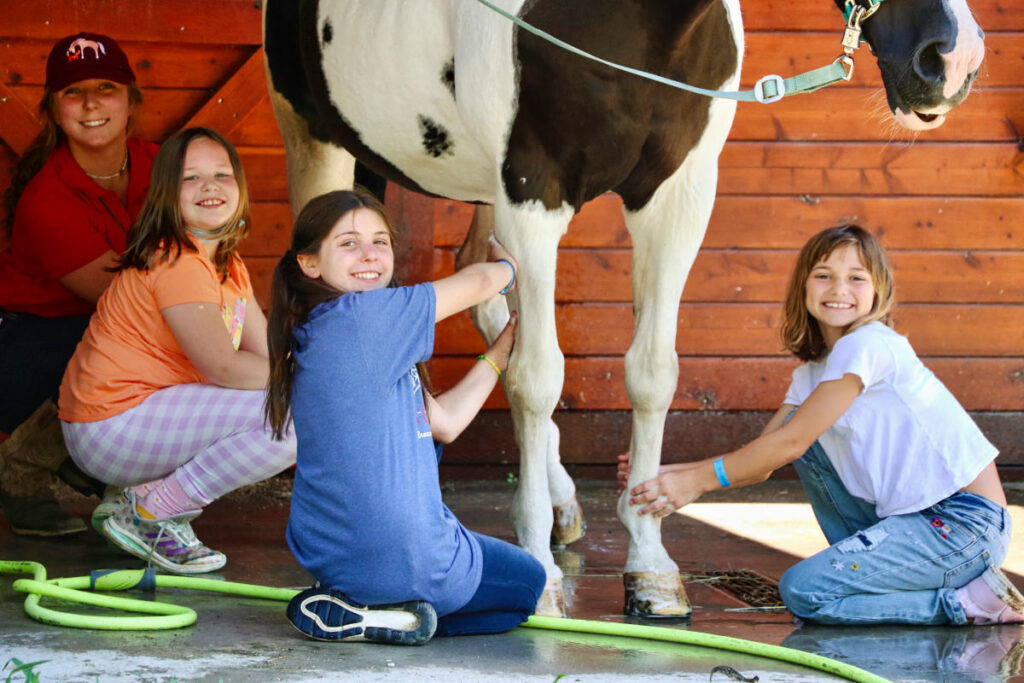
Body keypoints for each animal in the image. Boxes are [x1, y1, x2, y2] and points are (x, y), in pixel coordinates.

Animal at [264, 0, 983, 618]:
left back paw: (562, 500)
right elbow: (537, 378)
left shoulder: (677, 195)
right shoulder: (534, 191)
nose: (952, 58)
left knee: (486, 295)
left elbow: (650, 374)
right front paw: (541, 573)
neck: (640, 22)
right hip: (319, 145)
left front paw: (650, 564)